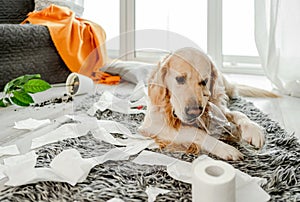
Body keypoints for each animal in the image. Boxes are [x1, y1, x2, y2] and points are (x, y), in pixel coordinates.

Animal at [139, 46, 278, 160]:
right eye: (180, 79)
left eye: (204, 82)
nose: (194, 112)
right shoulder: (153, 125)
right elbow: (195, 132)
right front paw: (225, 148)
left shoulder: (216, 108)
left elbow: (239, 114)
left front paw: (253, 129)